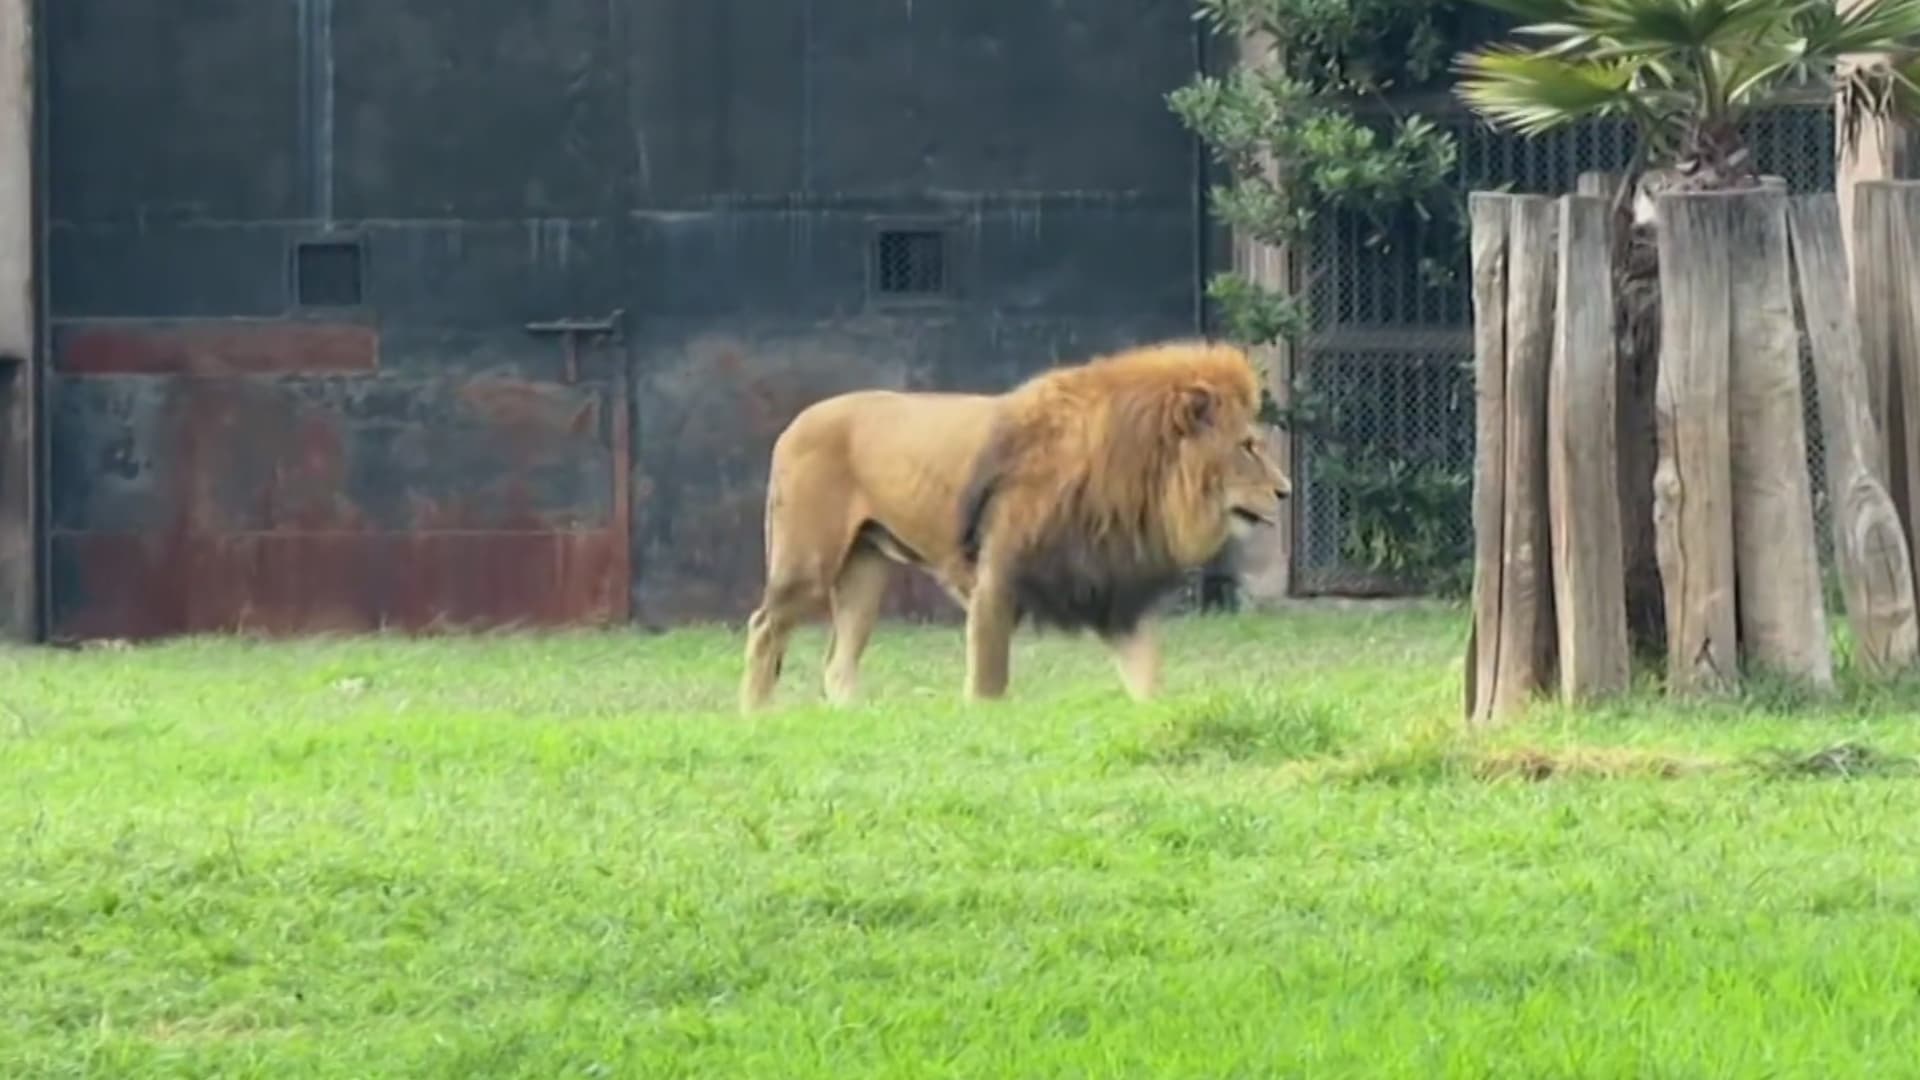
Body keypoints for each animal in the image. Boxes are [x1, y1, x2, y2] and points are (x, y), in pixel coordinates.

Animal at [739, 339, 1291, 712]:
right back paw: (758, 716)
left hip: (865, 570)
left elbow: (1148, 676)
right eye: (1247, 447)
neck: (1136, 478)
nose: (1285, 492)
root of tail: (795, 423)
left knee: (837, 663)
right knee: (765, 627)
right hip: (807, 563)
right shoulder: (996, 581)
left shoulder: (1111, 593)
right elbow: (989, 682)